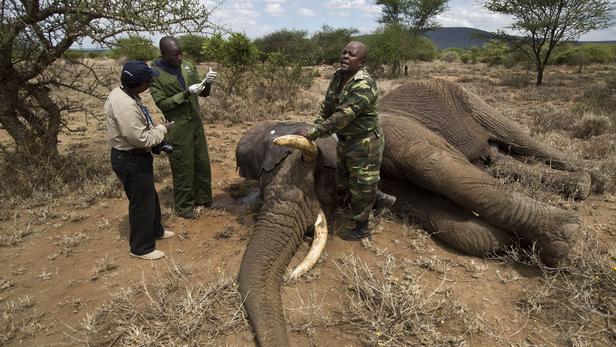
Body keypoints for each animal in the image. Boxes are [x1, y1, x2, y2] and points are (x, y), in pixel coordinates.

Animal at [233, 79, 588, 347]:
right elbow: (455, 226)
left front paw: (564, 240)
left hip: (469, 98)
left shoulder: (394, 136)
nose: (289, 277)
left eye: (313, 171)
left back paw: (586, 180)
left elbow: (438, 168)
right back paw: (578, 186)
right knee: (497, 158)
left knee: (520, 140)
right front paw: (505, 240)